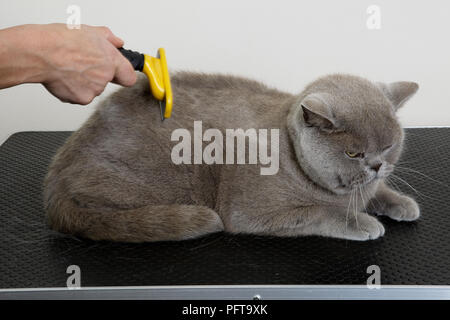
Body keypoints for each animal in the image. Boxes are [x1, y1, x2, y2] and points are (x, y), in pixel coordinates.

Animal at [44, 72, 420, 242]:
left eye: (388, 146)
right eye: (354, 153)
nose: (377, 165)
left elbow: (378, 192)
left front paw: (401, 203)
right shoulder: (255, 212)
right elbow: (321, 211)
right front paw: (362, 222)